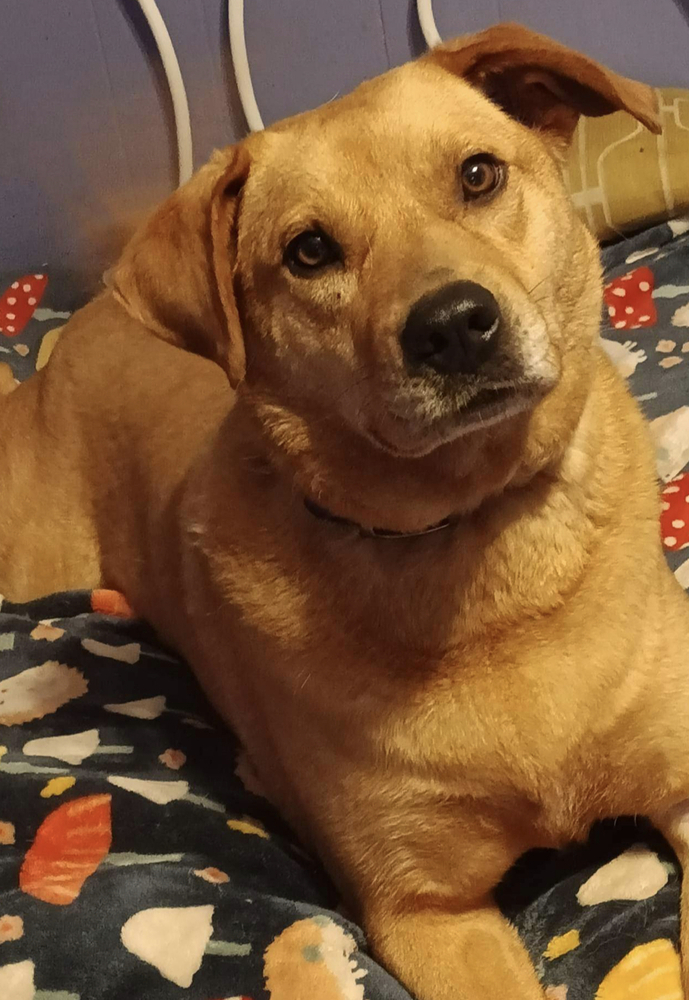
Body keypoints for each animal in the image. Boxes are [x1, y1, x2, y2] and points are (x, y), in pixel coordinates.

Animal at [1, 23, 688, 1000]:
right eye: (309, 251)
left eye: (477, 175)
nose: (452, 325)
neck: (471, 536)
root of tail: (78, 328)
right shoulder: (426, 911)